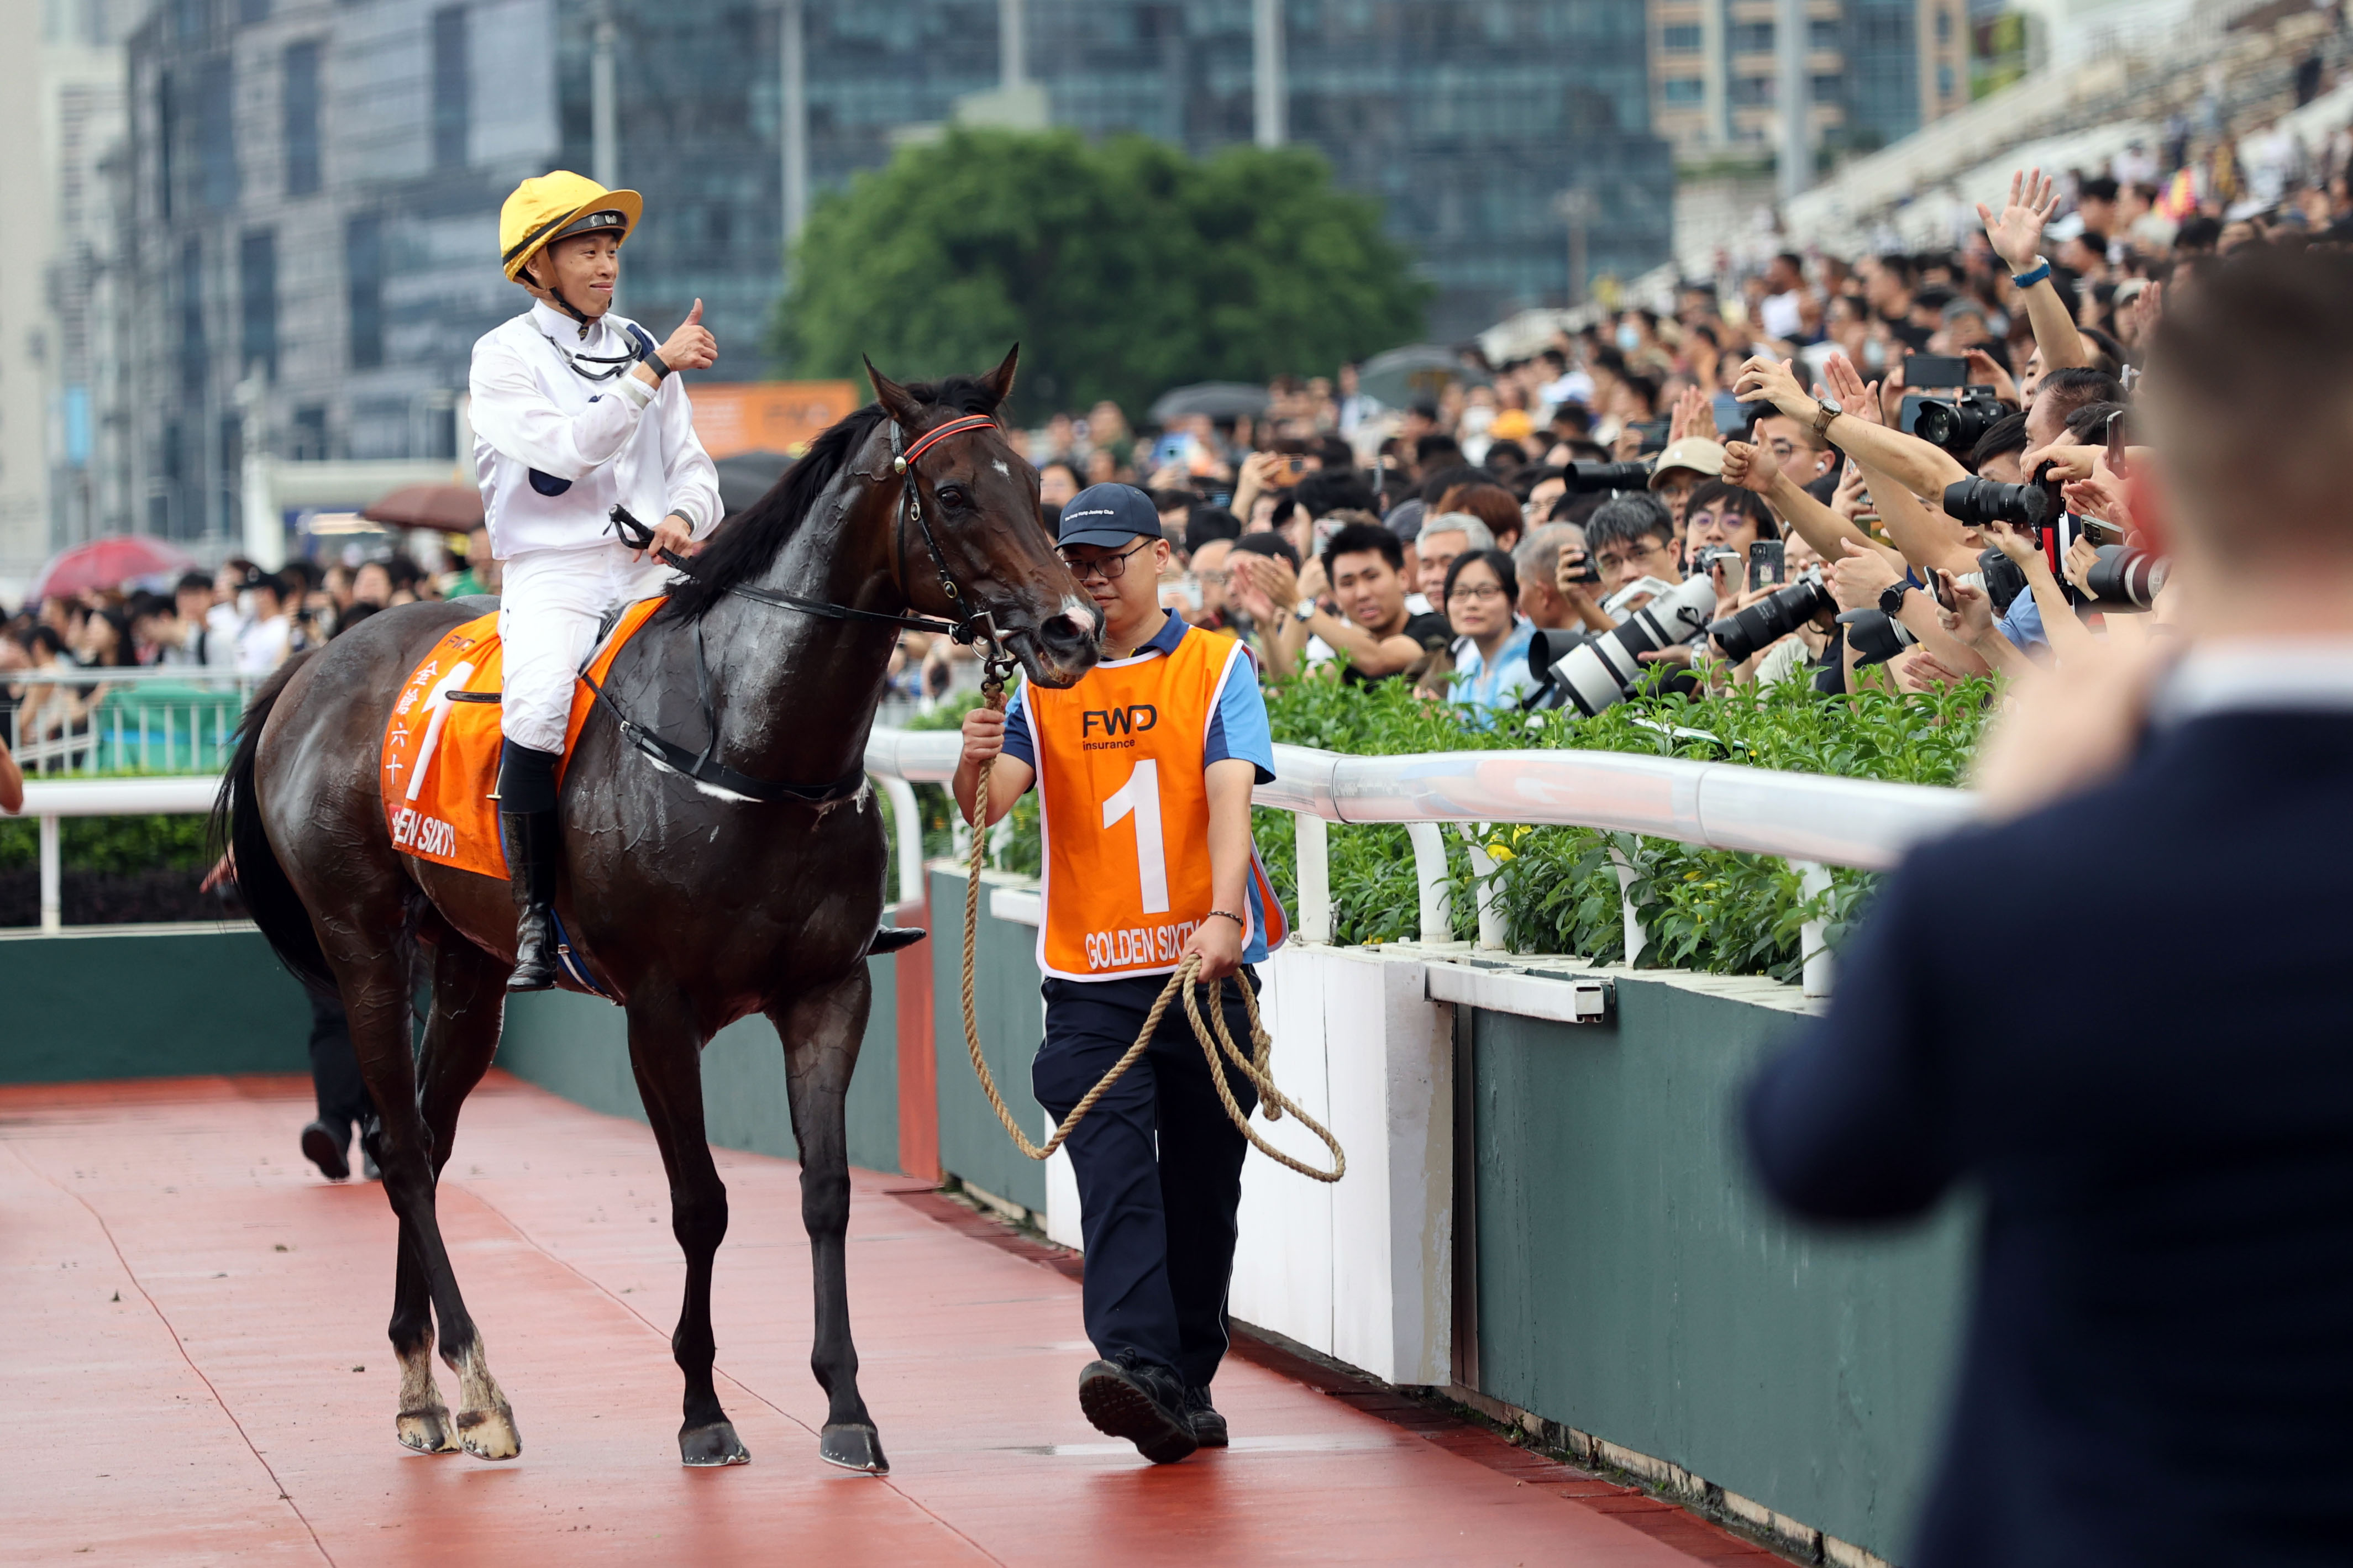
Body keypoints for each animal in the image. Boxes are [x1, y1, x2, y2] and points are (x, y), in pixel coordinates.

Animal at [218, 349, 1097, 1473]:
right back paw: (479, 1384)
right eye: (951, 495)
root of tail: (311, 665)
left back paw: (422, 1383)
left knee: (429, 1135)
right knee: (405, 1153)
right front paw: (703, 1407)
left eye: (1035, 488)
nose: (1071, 628)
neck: (749, 746)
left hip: (466, 971)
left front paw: (845, 1405)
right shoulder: (658, 1010)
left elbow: (825, 1191)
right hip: (364, 946)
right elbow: (700, 1204)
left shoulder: (829, 992)